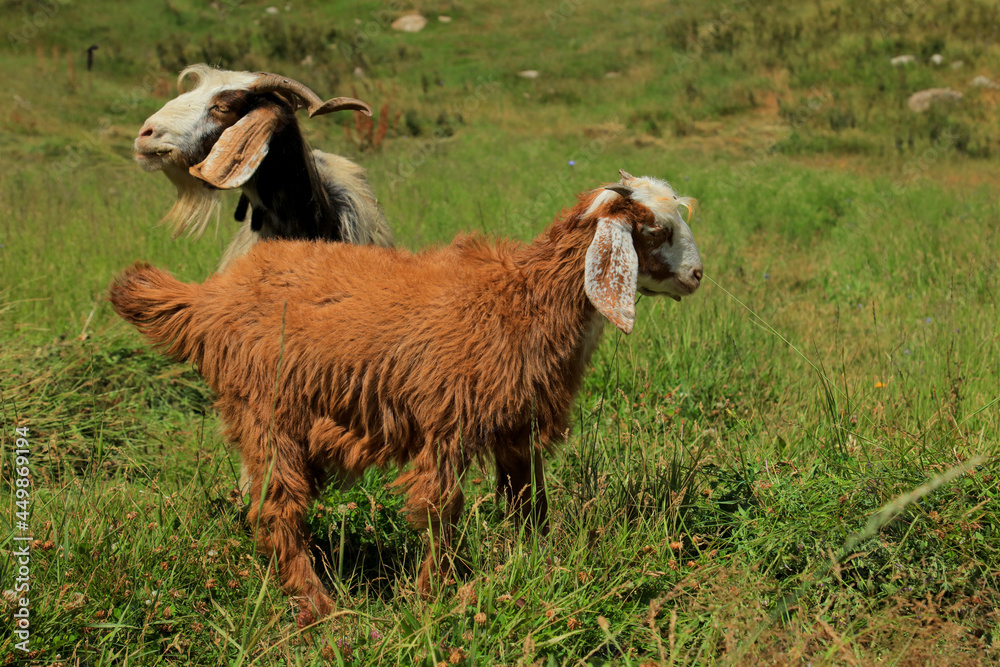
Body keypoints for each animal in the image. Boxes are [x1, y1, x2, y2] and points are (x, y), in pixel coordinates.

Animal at [109, 171, 703, 627]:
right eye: (654, 229)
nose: (698, 275)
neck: (520, 299)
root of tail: (209, 299)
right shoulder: (445, 423)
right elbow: (442, 511)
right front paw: (433, 597)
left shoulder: (517, 427)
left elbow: (527, 503)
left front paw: (533, 565)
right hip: (267, 410)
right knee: (276, 508)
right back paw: (318, 606)